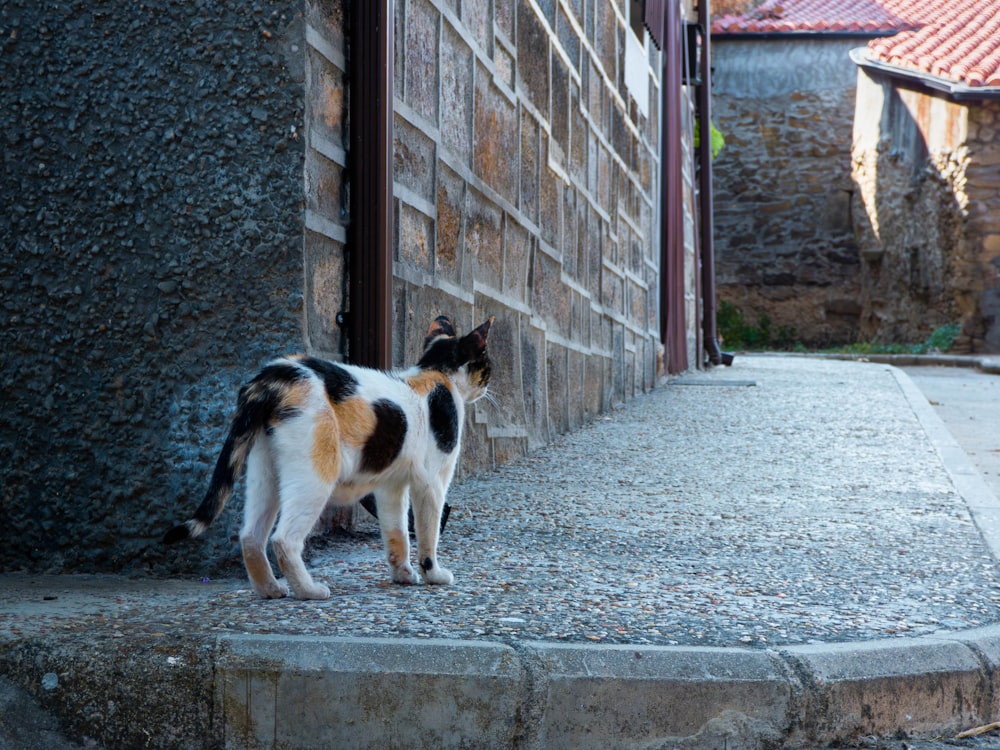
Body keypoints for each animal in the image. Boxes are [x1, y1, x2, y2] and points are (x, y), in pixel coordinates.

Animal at [164, 316, 492, 600]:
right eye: (487, 366)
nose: (488, 385)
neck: (435, 375)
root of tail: (273, 376)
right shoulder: (433, 483)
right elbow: (427, 533)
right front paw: (433, 574)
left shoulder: (391, 486)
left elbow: (396, 531)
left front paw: (402, 574)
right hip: (314, 477)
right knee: (283, 539)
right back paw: (309, 591)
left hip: (265, 475)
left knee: (250, 536)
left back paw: (270, 590)